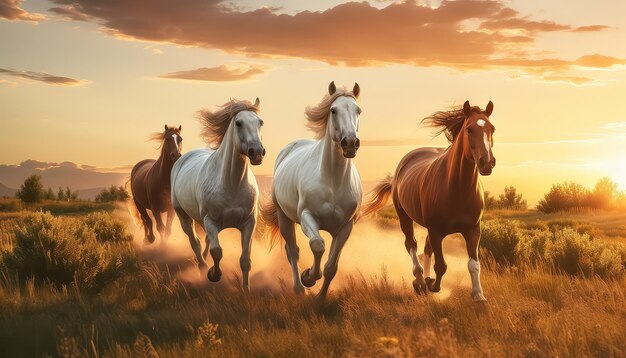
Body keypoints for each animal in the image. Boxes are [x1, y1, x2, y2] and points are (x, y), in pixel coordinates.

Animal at [169, 98, 264, 290]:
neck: (232, 184)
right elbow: (217, 251)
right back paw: (202, 267)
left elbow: (245, 260)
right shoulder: (210, 221)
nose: (257, 152)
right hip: (183, 216)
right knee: (195, 243)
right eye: (238, 123)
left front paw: (246, 289)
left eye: (260, 122)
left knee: (204, 242)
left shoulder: (249, 223)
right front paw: (213, 274)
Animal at [260, 82, 360, 300]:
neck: (333, 182)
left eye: (358, 110)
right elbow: (317, 244)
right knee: (292, 251)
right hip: (284, 218)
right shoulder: (307, 216)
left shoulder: (346, 227)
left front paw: (321, 298)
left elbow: (331, 267)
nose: (350, 143)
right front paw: (309, 277)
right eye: (333, 110)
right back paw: (299, 288)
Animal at [358, 99, 494, 300]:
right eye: (469, 129)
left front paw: (478, 295)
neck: (457, 189)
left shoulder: (473, 229)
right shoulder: (435, 230)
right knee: (412, 245)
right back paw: (420, 281)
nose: (487, 162)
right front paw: (432, 286)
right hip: (405, 218)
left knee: (426, 249)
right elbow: (441, 265)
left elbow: (473, 264)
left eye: (492, 129)